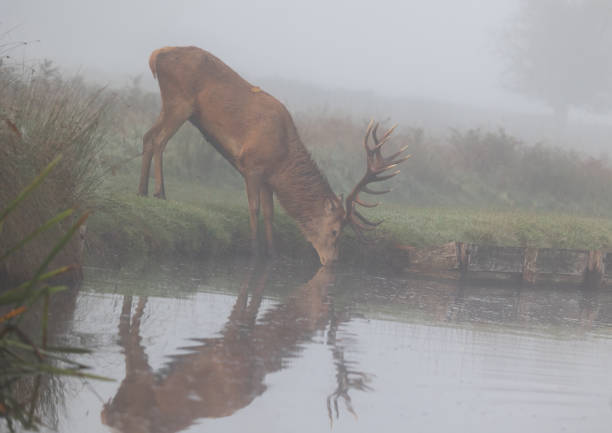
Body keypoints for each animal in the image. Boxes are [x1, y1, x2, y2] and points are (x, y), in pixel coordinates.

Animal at [137, 46, 406, 264]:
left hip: (173, 104)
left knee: (147, 137)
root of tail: (156, 55)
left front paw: (273, 252)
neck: (282, 159)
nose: (332, 261)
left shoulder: (268, 178)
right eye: (335, 231)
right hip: (180, 101)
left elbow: (270, 213)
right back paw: (160, 192)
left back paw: (141, 190)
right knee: (159, 140)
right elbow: (254, 207)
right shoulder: (251, 165)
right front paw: (255, 250)